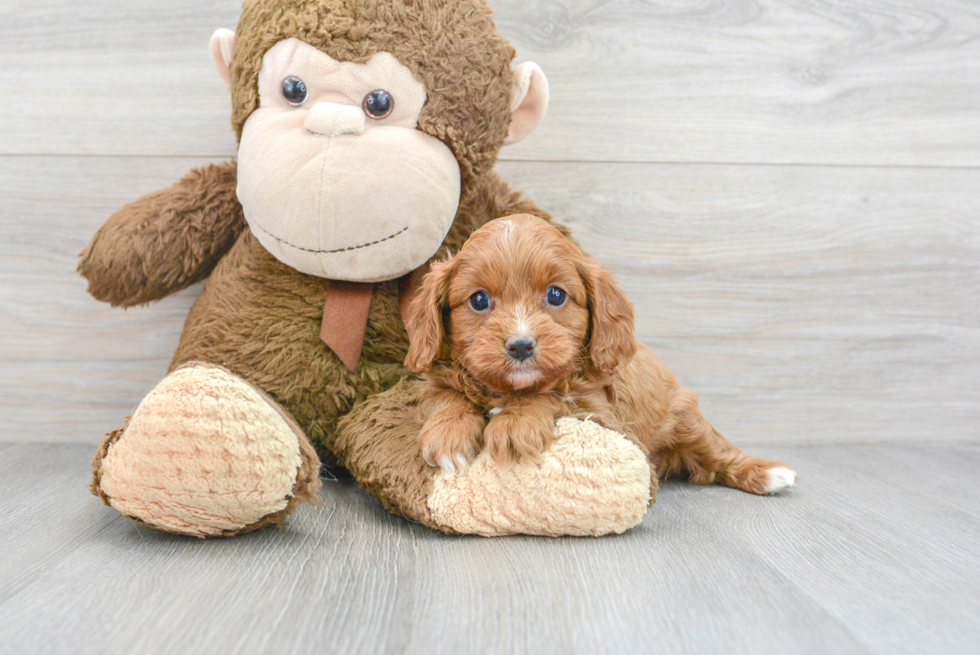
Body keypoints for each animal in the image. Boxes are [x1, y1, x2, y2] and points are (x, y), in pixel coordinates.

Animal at [406, 215, 796, 498]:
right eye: (479, 300)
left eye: (556, 295)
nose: (520, 345)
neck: (510, 389)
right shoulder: (435, 384)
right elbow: (448, 397)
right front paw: (449, 434)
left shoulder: (602, 414)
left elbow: (552, 395)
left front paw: (516, 423)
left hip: (684, 418)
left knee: (719, 451)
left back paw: (768, 473)